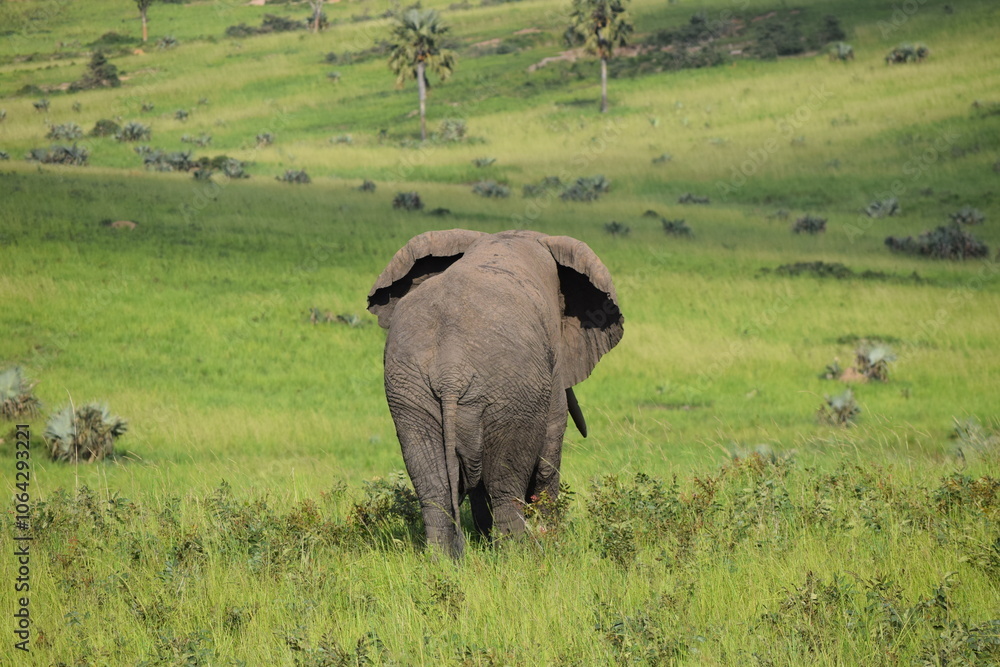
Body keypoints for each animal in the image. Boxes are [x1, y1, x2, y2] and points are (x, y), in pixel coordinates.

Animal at [367, 229, 623, 558]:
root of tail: (451, 369)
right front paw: (551, 537)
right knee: (505, 484)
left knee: (433, 484)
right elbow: (551, 446)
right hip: (512, 394)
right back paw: (516, 556)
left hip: (410, 389)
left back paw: (443, 560)